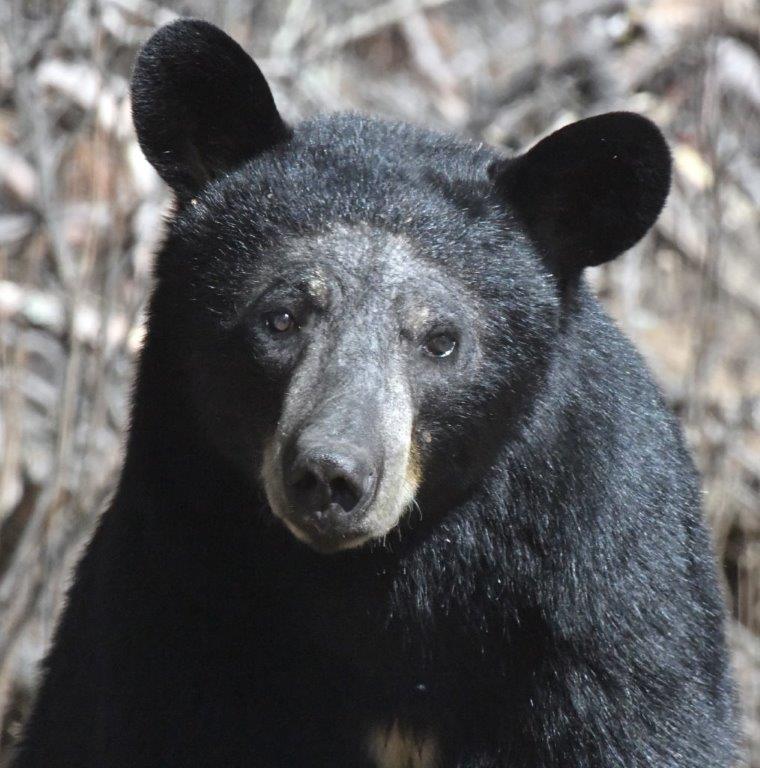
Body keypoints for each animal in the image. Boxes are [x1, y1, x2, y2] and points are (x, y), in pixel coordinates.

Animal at [13, 18, 739, 768]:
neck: (379, 590)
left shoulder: (601, 618)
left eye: (442, 340)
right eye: (282, 316)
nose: (332, 475)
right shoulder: (170, 592)